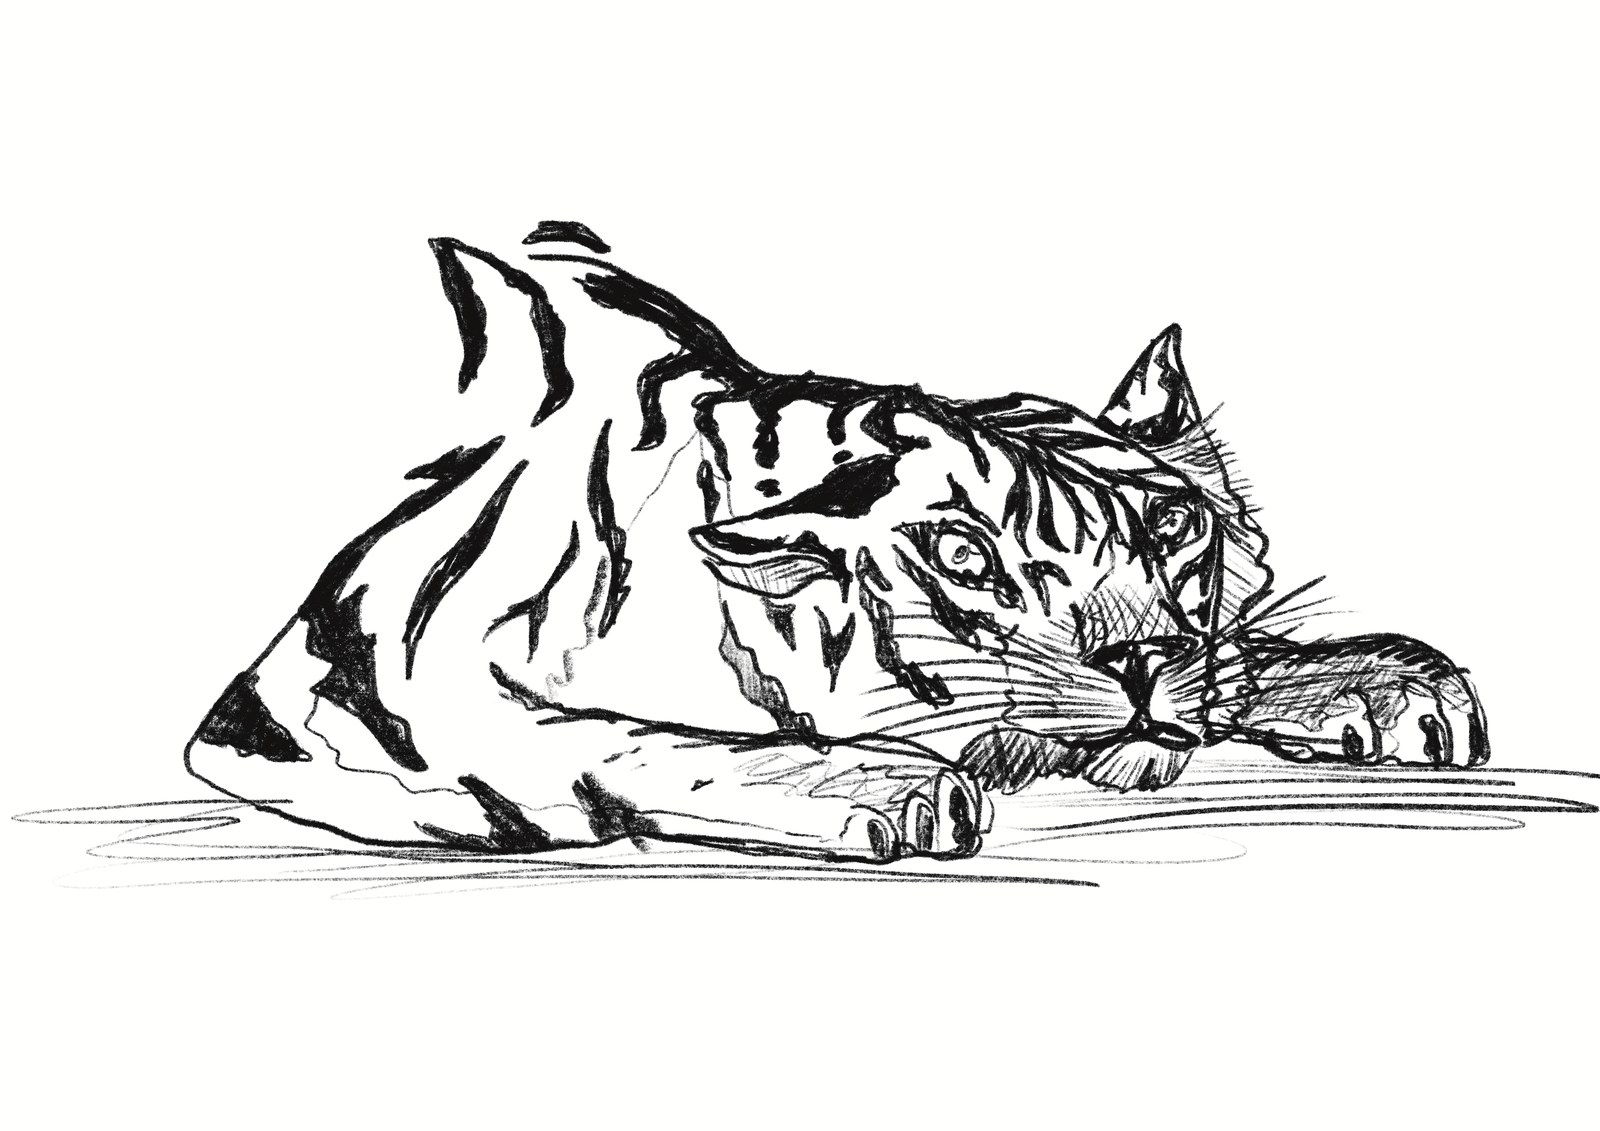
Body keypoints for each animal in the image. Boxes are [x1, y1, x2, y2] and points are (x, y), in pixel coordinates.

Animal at [185, 223, 1490, 863]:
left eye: (1171, 525)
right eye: (963, 556)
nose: (1143, 662)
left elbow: (1242, 659)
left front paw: (1389, 684)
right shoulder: (435, 696)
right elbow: (643, 741)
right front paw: (887, 785)